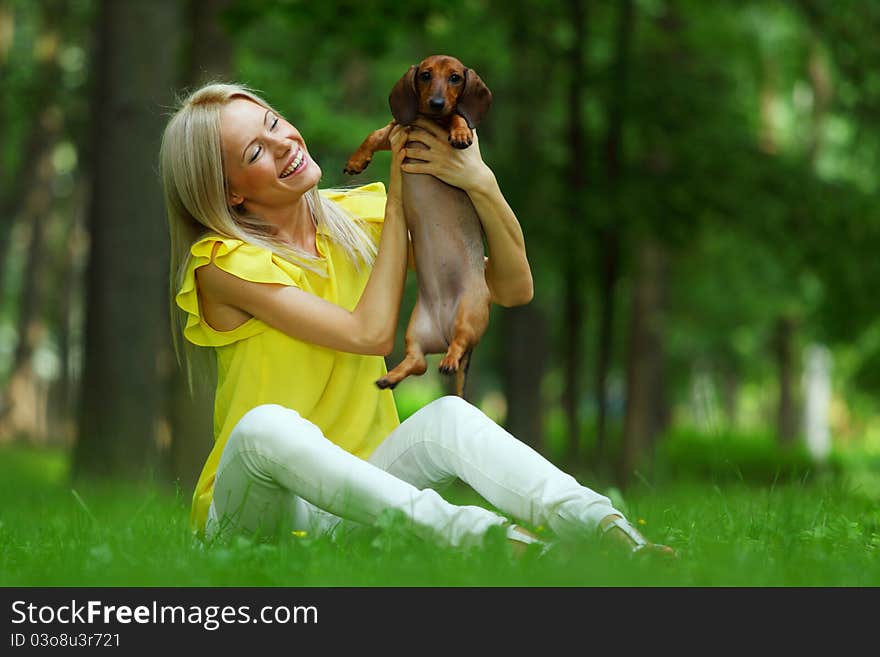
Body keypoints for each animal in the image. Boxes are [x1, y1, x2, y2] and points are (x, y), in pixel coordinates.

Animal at [344, 56, 496, 394]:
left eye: (455, 77)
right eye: (425, 75)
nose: (437, 103)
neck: (429, 120)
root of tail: (442, 331)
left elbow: (458, 117)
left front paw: (461, 132)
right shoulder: (398, 127)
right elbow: (374, 134)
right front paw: (357, 160)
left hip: (469, 313)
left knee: (457, 345)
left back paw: (449, 361)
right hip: (414, 329)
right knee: (418, 362)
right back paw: (390, 377)